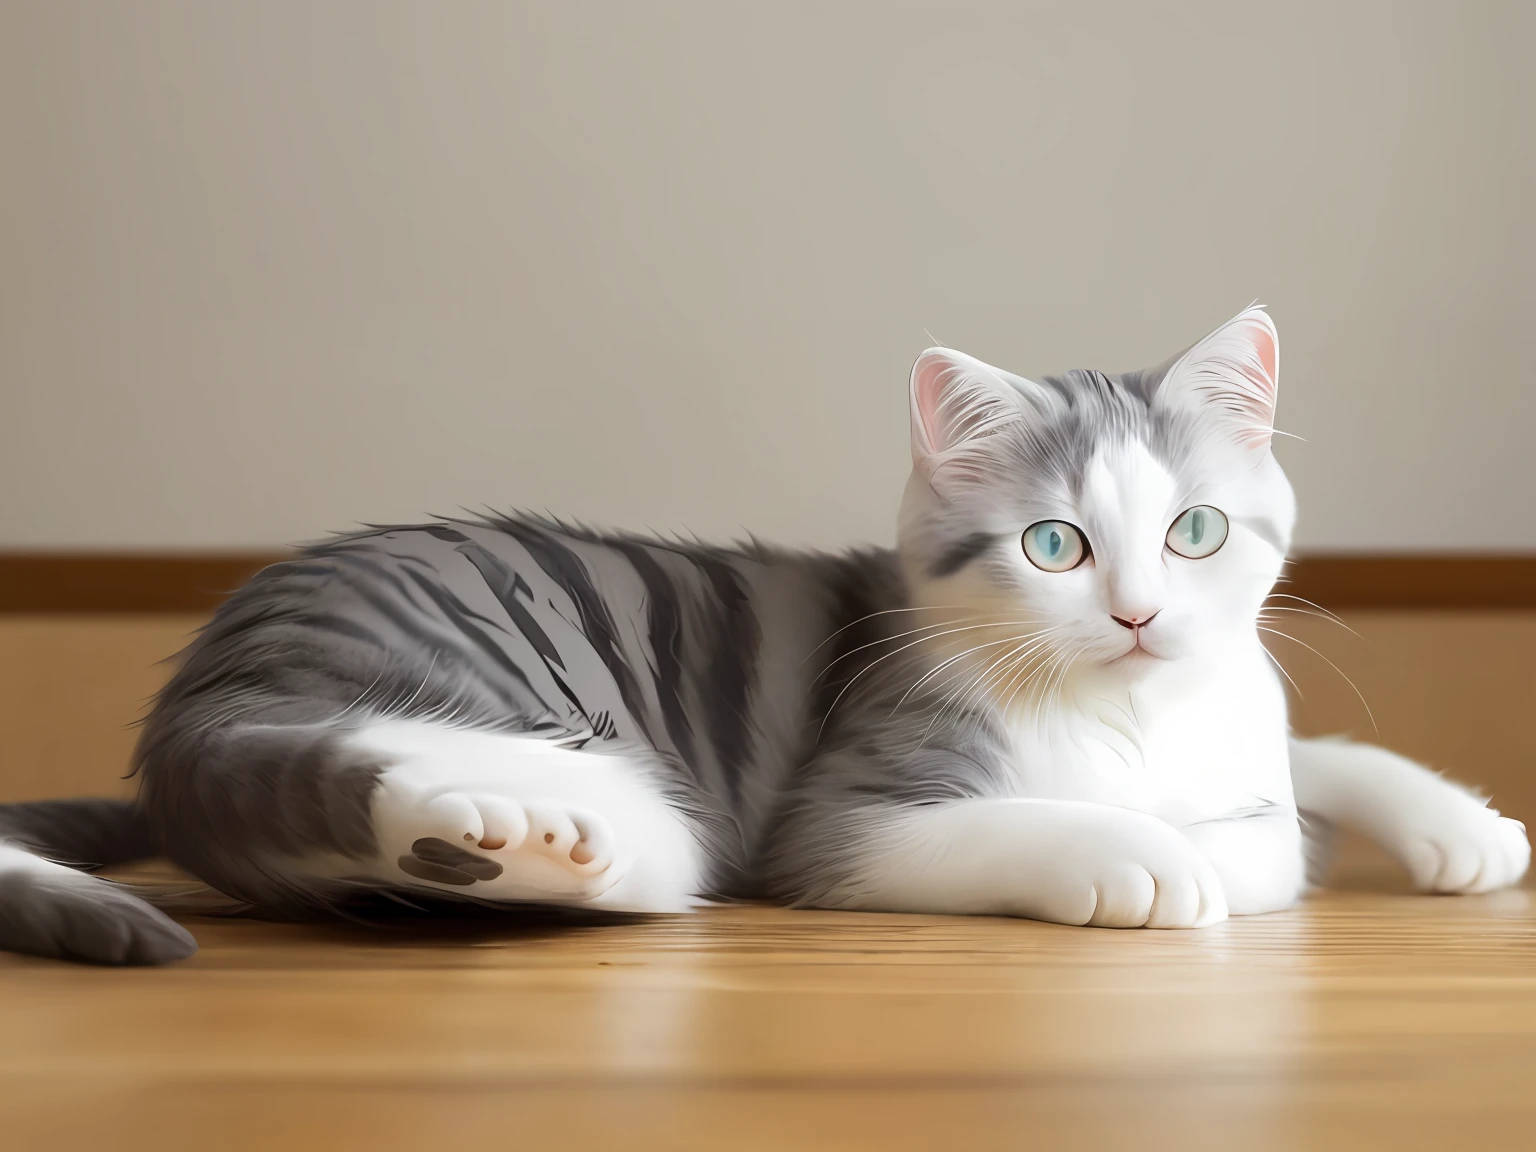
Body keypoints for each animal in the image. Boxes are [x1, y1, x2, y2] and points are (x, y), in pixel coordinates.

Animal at [0, 307, 1523, 964]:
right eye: (1057, 547)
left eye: (1196, 532)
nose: (1142, 616)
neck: (1134, 718)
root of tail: (199, 684)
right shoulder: (841, 812)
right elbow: (1181, 843)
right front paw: (1145, 856)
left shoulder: (1243, 728)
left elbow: (1295, 792)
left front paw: (1458, 829)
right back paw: (518, 823)